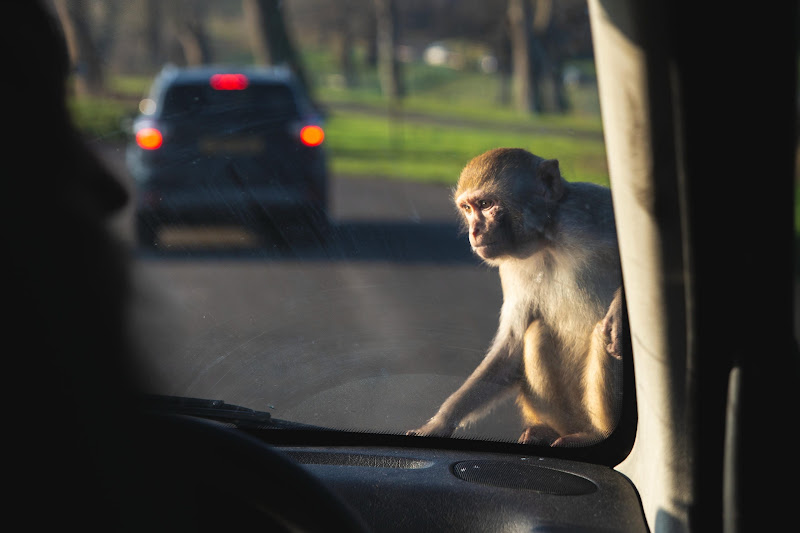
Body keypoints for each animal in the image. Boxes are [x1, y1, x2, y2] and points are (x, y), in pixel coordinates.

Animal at [408, 147, 623, 447]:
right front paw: (439, 423)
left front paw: (619, 311)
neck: (546, 241)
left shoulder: (588, 211)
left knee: (605, 335)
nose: (474, 231)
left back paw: (595, 434)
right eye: (468, 208)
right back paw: (546, 429)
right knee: (536, 331)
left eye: (486, 204)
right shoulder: (510, 268)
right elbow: (512, 343)